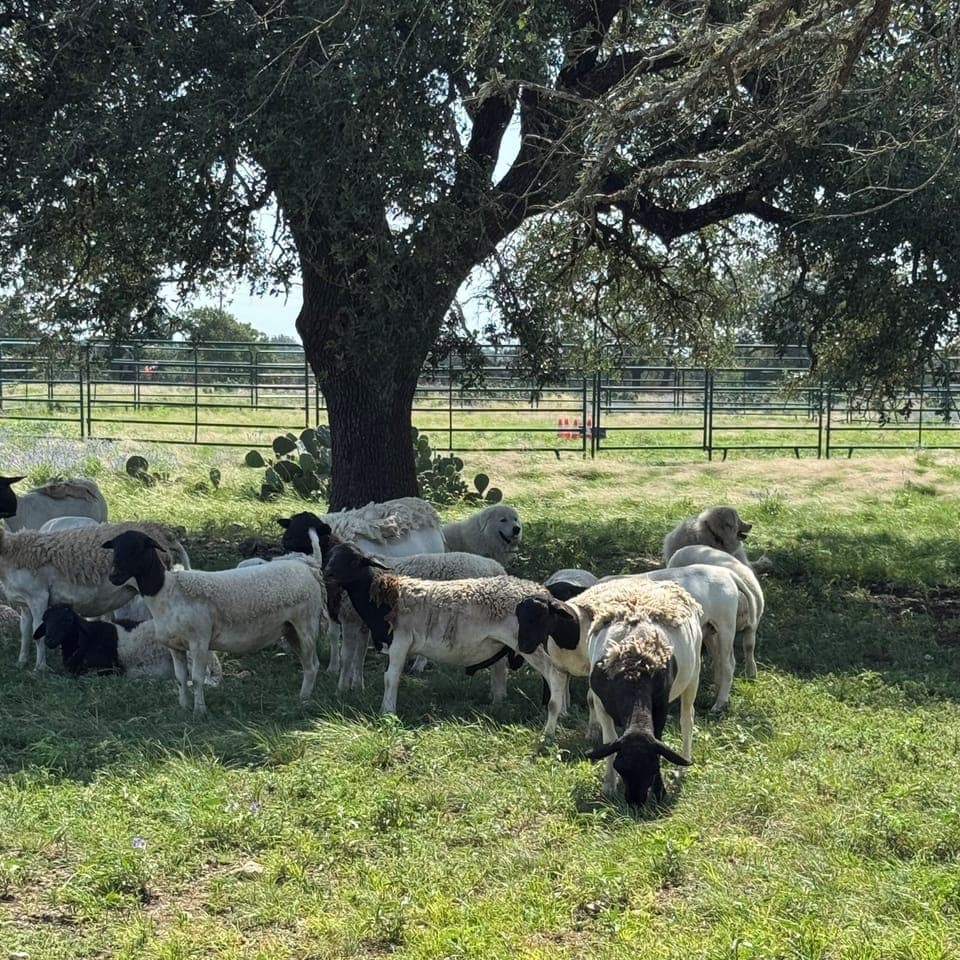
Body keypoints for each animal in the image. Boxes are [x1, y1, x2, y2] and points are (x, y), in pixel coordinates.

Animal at [0, 521, 191, 671]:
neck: (11, 553)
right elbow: (25, 632)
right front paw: (21, 662)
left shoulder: (38, 597)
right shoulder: (25, 603)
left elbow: (37, 632)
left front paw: (40, 668)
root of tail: (163, 533)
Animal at [102, 530, 330, 715]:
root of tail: (307, 565)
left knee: (312, 665)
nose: (113, 577)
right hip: (290, 629)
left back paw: (303, 699)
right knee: (307, 663)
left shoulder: (199, 641)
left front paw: (199, 711)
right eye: (115, 549)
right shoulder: (175, 646)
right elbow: (180, 678)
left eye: (136, 548)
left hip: (307, 623)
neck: (166, 591)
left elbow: (196, 679)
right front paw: (183, 707)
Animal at [323, 542, 568, 734]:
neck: (386, 597)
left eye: (353, 561)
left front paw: (387, 711)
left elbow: (390, 677)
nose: (327, 573)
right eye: (331, 555)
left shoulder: (400, 641)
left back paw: (551, 722)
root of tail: (545, 595)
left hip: (530, 643)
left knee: (555, 674)